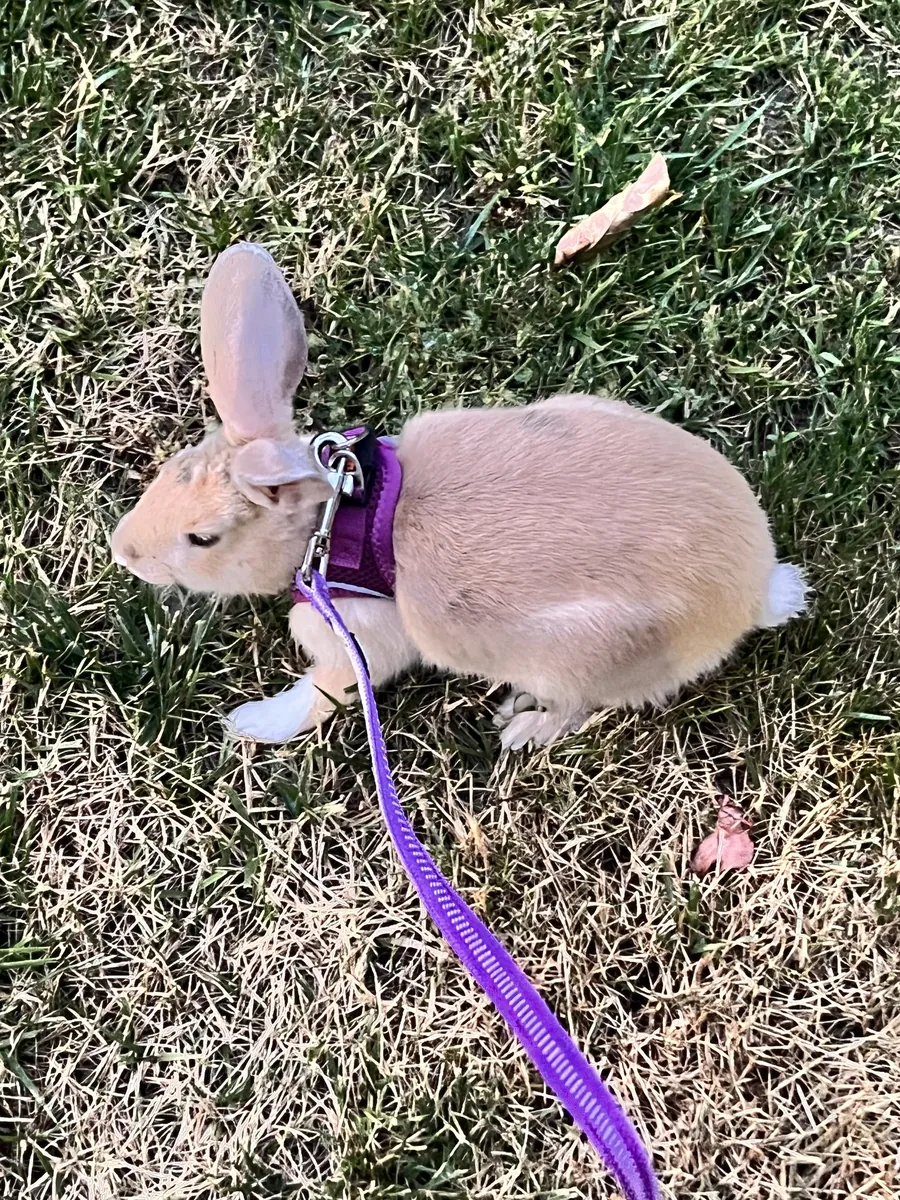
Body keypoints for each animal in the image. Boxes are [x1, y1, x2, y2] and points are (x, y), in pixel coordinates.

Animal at [111, 243, 808, 750]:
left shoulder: (356, 642)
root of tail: (749, 596)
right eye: (171, 471)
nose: (124, 552)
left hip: (581, 655)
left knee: (577, 706)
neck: (337, 521)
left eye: (203, 538)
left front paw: (251, 723)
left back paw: (521, 726)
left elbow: (323, 693)